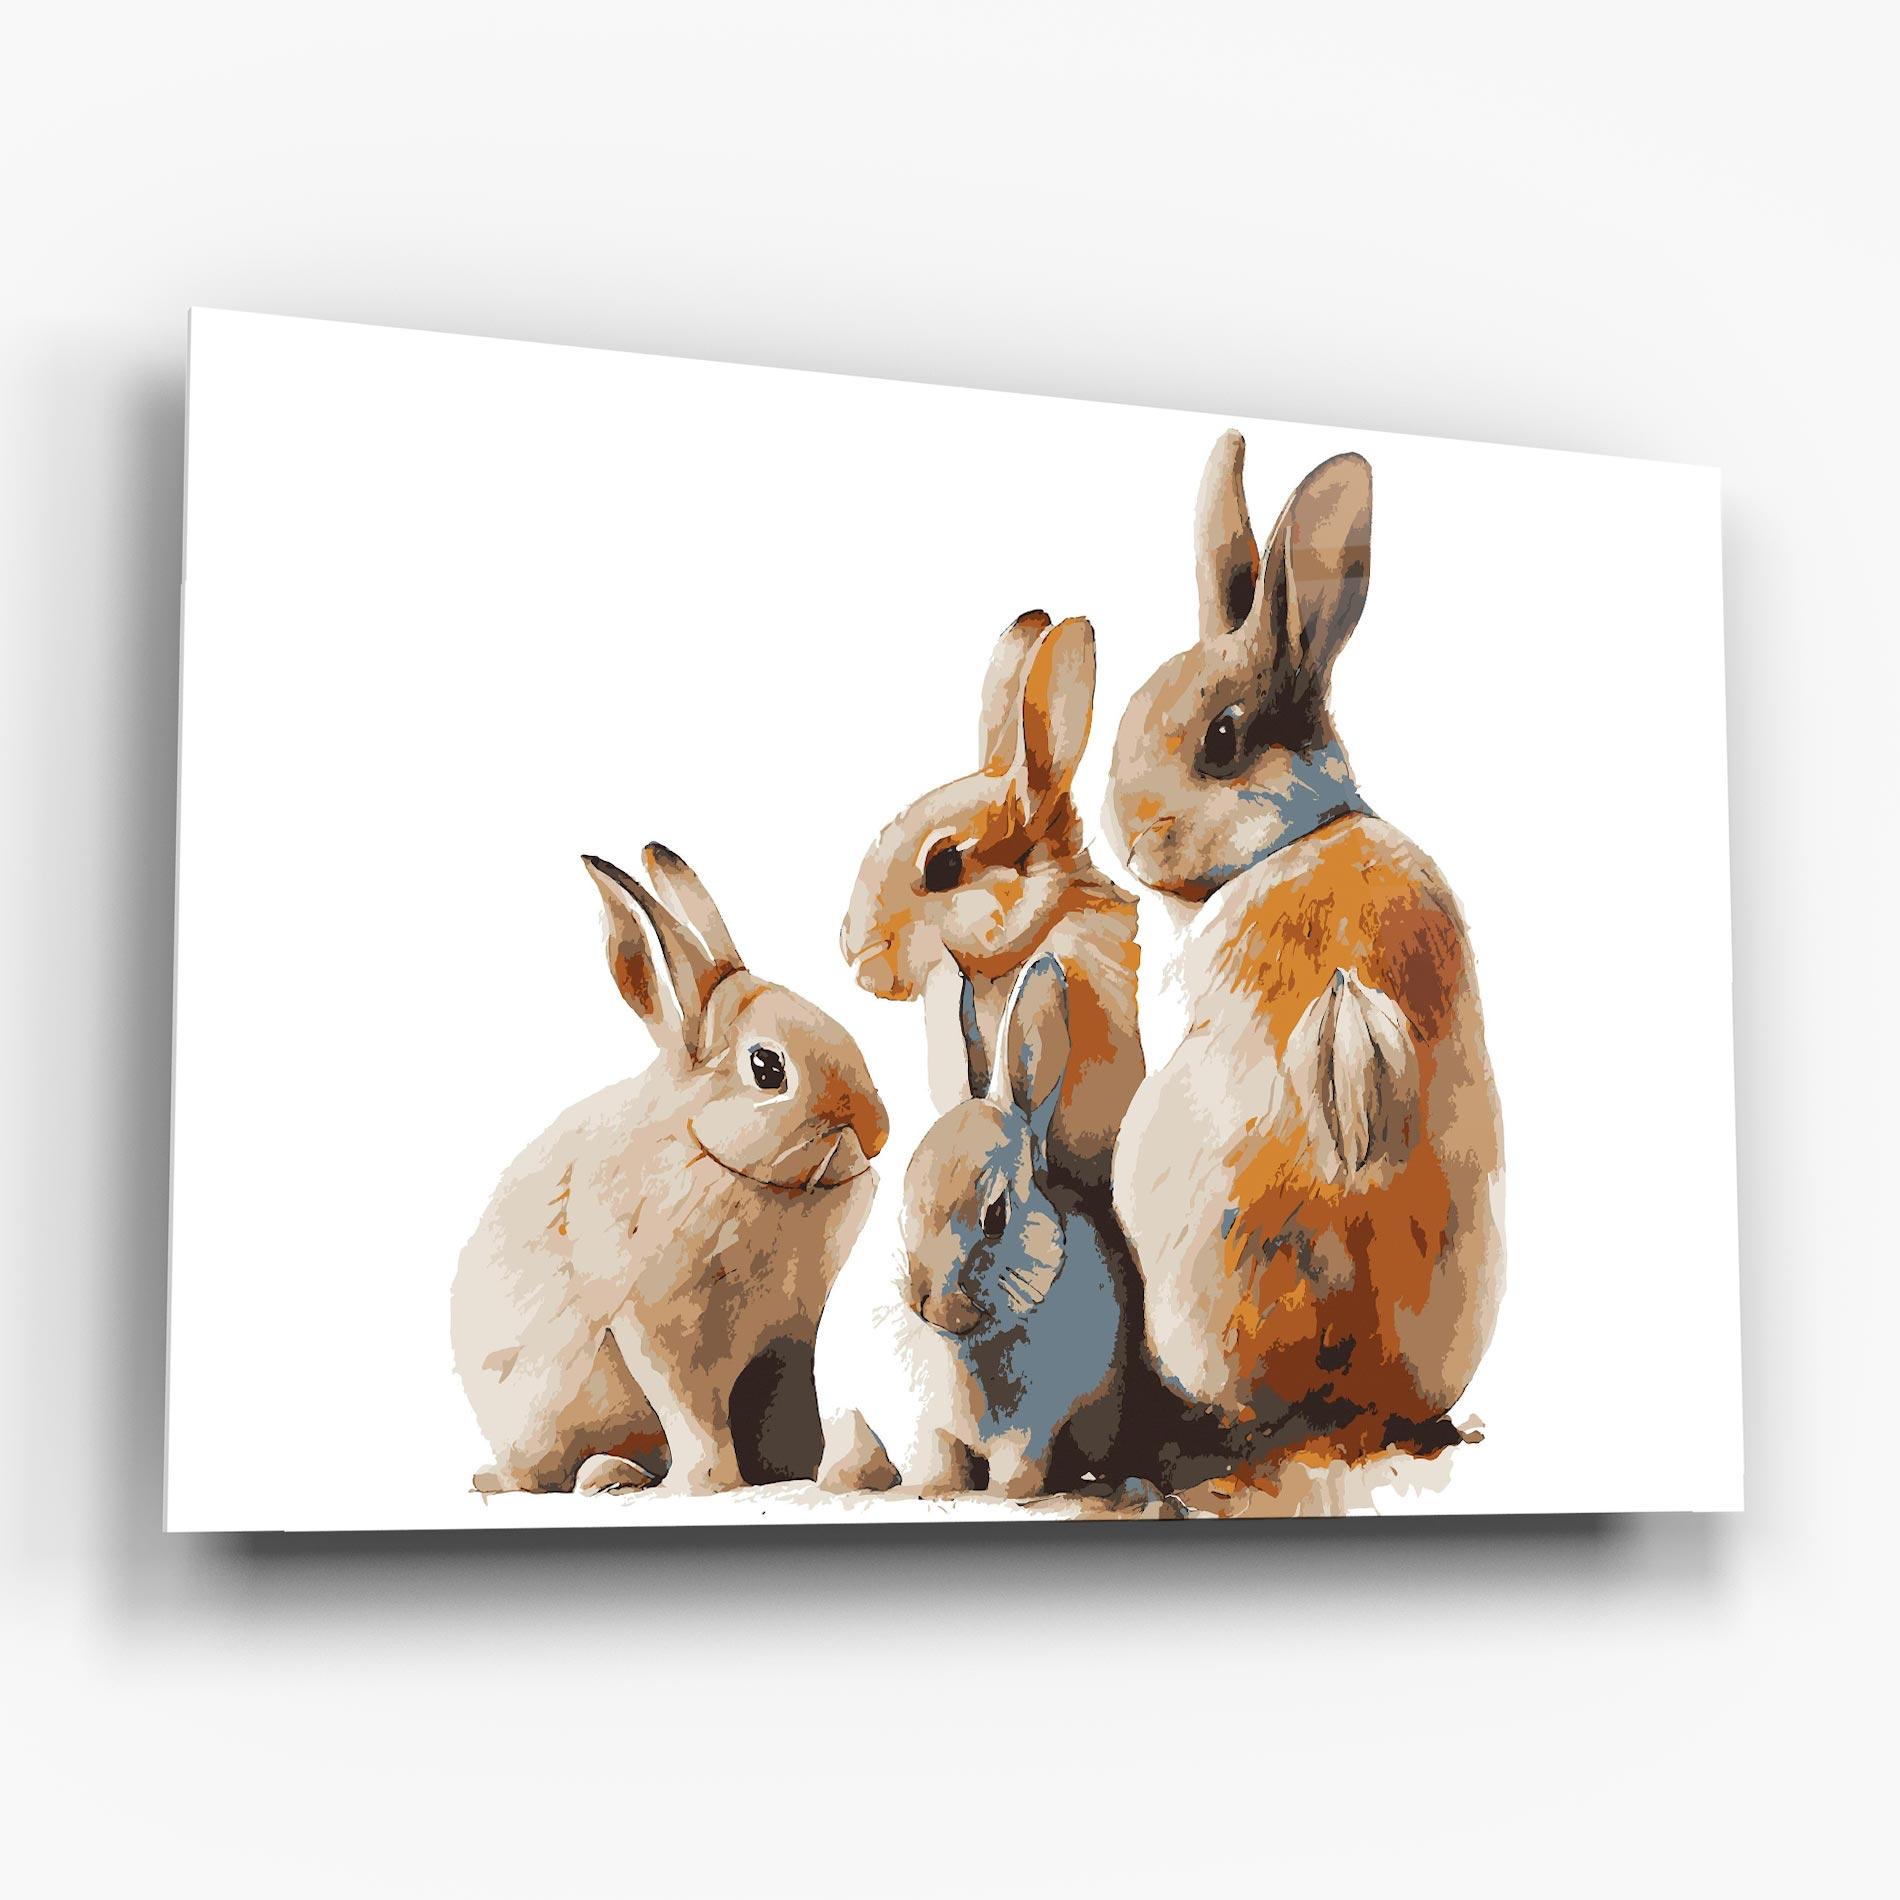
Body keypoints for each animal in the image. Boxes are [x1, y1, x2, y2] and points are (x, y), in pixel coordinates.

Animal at [451, 844, 888, 1497]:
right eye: (767, 1068)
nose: (877, 1130)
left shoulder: (786, 1339)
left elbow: (787, 1407)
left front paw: (800, 1472)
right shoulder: (661, 1327)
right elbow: (692, 1411)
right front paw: (712, 1485)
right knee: (540, 1474)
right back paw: (602, 1476)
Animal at [814, 955, 1122, 1499]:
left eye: (996, 1215)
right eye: (904, 1201)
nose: (929, 1303)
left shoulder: (1032, 1432)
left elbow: (1018, 1470)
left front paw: (1007, 1497)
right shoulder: (918, 1426)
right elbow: (936, 1464)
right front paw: (936, 1493)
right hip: (842, 1409)